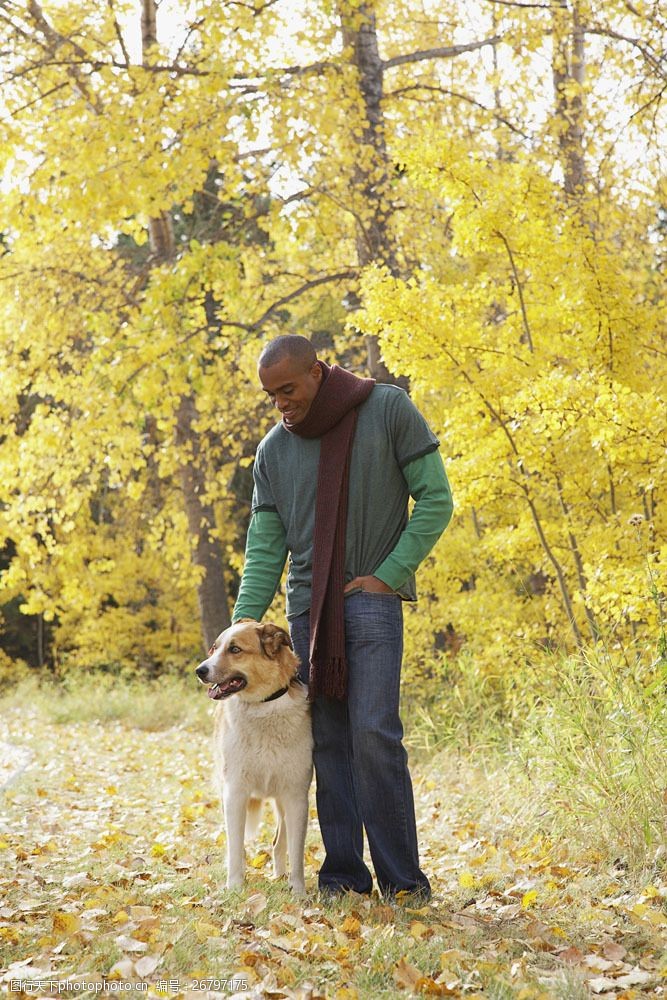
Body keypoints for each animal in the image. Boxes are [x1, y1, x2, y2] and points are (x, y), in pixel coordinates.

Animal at [194, 620, 314, 896]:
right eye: (214, 648)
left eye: (235, 649)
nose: (199, 671)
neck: (263, 707)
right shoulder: (235, 792)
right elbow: (235, 846)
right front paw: (235, 888)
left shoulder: (296, 796)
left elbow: (296, 851)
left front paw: (298, 892)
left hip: (281, 802)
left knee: (279, 842)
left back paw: (280, 875)